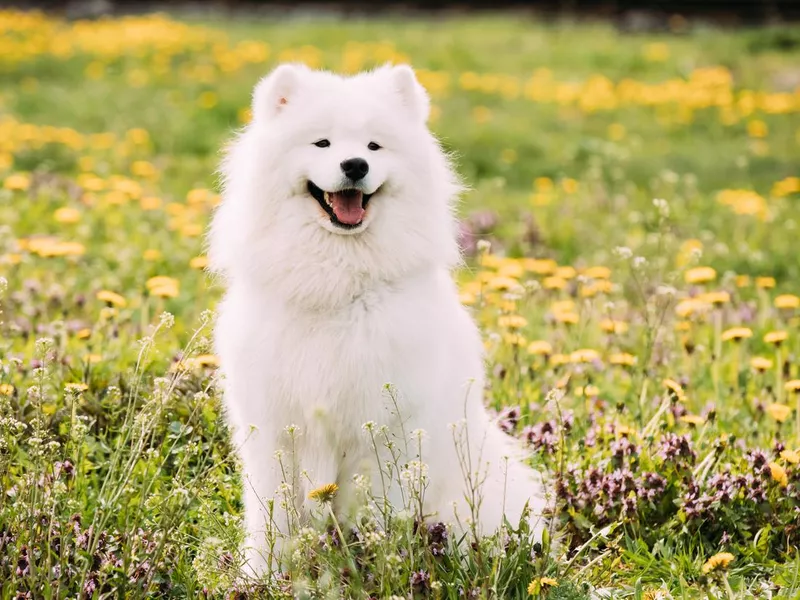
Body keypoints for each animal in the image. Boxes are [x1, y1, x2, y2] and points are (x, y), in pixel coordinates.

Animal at [206, 63, 548, 576]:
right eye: (322, 143)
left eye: (373, 146)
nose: (355, 167)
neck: (338, 285)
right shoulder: (273, 433)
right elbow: (272, 521)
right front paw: (259, 576)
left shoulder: (385, 436)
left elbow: (377, 516)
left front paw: (381, 570)